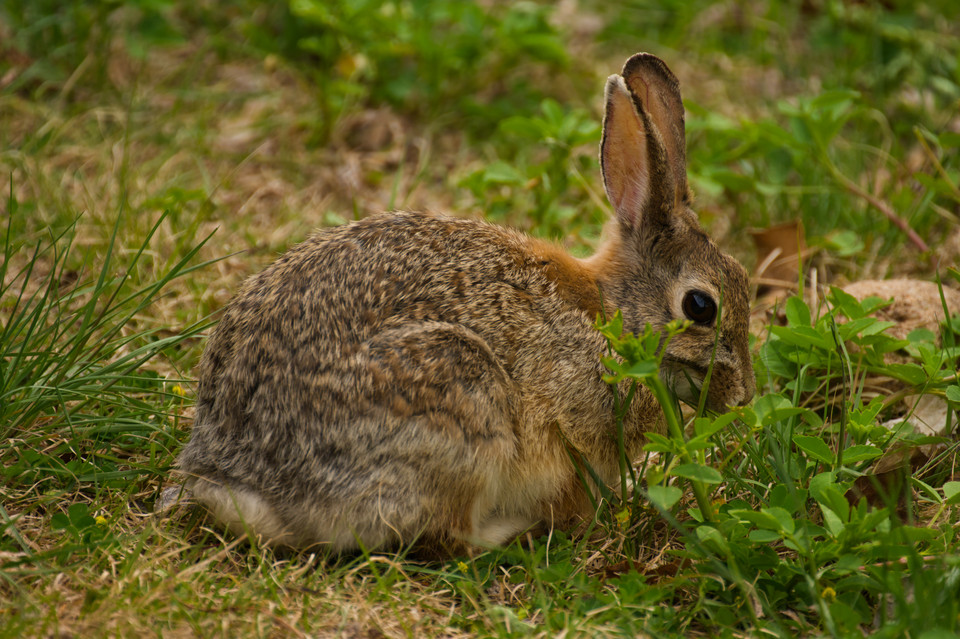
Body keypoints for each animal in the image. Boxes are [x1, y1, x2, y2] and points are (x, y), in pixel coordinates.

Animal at [174, 53, 756, 556]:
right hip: (460, 405)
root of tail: (243, 478)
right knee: (446, 536)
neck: (611, 315)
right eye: (700, 306)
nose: (744, 396)